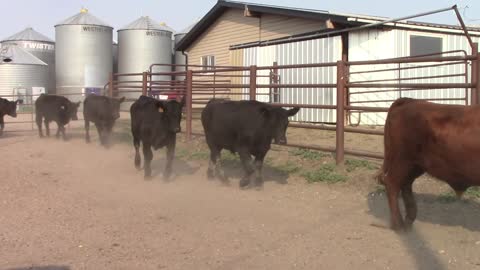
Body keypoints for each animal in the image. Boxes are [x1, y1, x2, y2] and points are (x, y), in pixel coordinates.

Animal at [378, 98, 480, 231]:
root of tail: (410, 101)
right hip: (403, 161)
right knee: (392, 183)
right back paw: (399, 225)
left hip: (415, 165)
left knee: (405, 184)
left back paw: (409, 220)